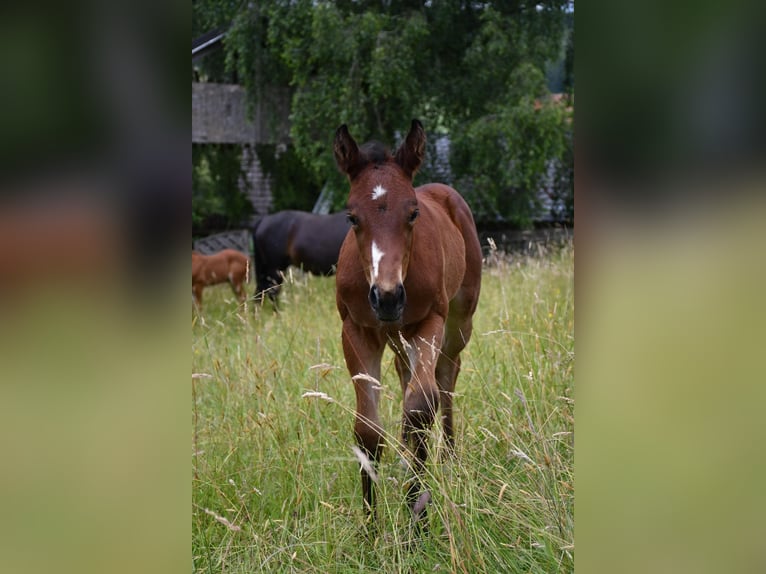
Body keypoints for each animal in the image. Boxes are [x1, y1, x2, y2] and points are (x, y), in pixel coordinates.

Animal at [334, 121, 484, 532]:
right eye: (352, 217)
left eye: (413, 213)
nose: (387, 298)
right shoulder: (356, 331)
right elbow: (367, 430)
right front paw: (370, 528)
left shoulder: (428, 322)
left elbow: (419, 409)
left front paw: (418, 518)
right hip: (398, 338)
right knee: (407, 377)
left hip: (457, 322)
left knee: (445, 379)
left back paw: (448, 459)